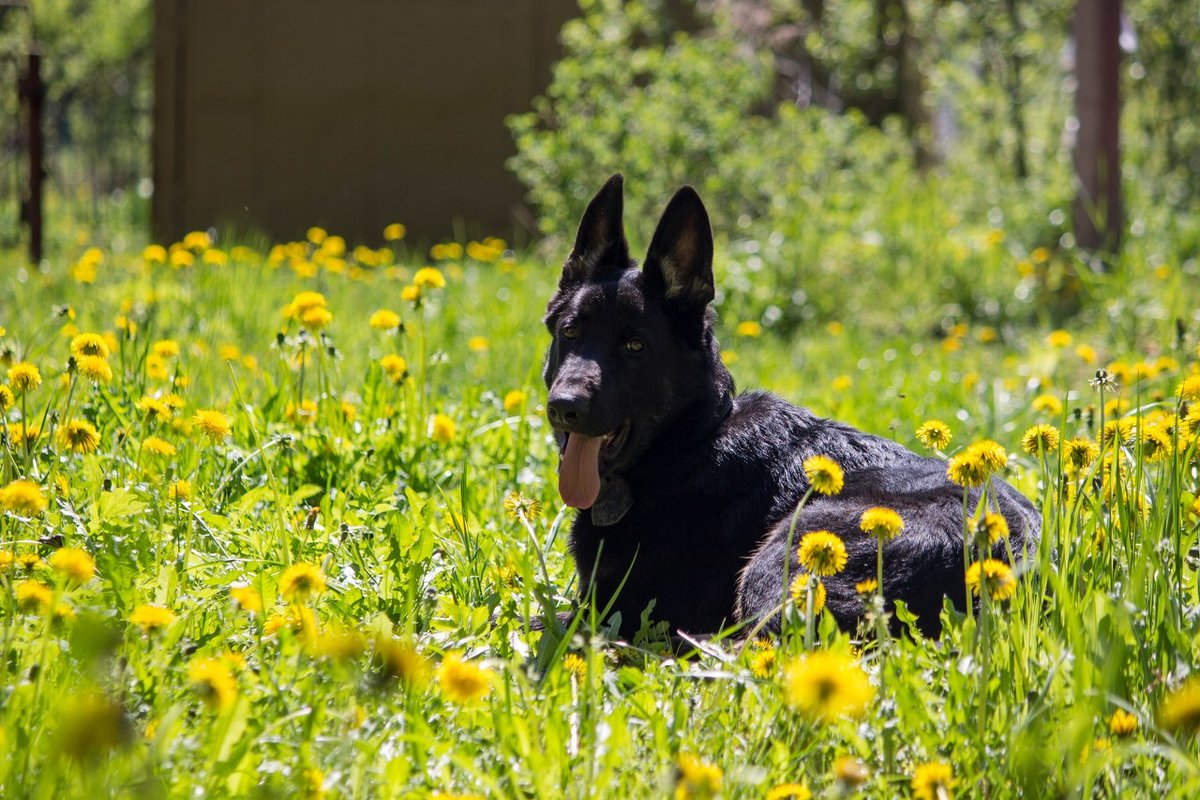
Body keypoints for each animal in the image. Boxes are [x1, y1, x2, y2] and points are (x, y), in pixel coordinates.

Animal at [544, 173, 1041, 638]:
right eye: (570, 332)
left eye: (634, 346)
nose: (564, 406)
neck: (694, 439)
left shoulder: (612, 613)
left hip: (789, 549)